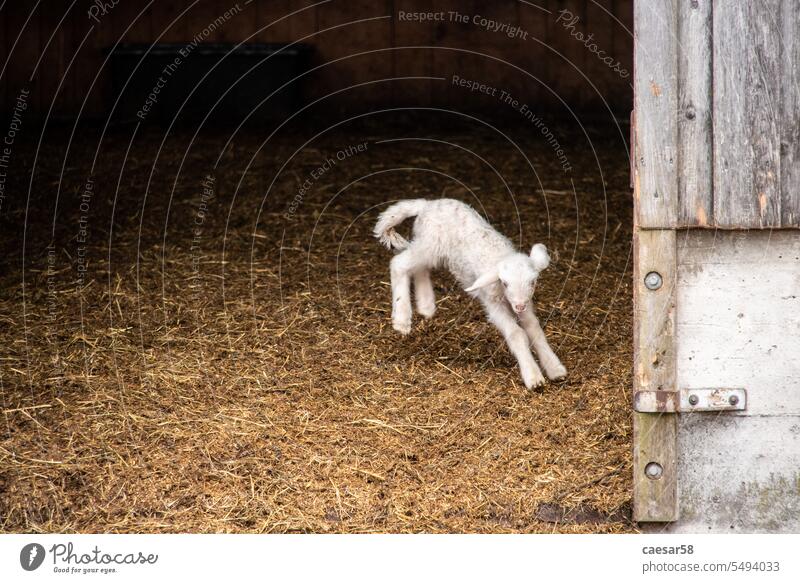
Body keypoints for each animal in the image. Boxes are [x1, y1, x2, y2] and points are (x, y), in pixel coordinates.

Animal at [374, 198, 564, 390]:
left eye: (532, 282)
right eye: (505, 283)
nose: (519, 305)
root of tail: (427, 204)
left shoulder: (525, 303)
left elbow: (534, 329)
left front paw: (555, 369)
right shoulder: (493, 303)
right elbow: (516, 334)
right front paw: (533, 377)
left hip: (428, 247)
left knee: (420, 269)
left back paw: (426, 306)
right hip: (429, 244)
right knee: (399, 264)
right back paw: (402, 320)